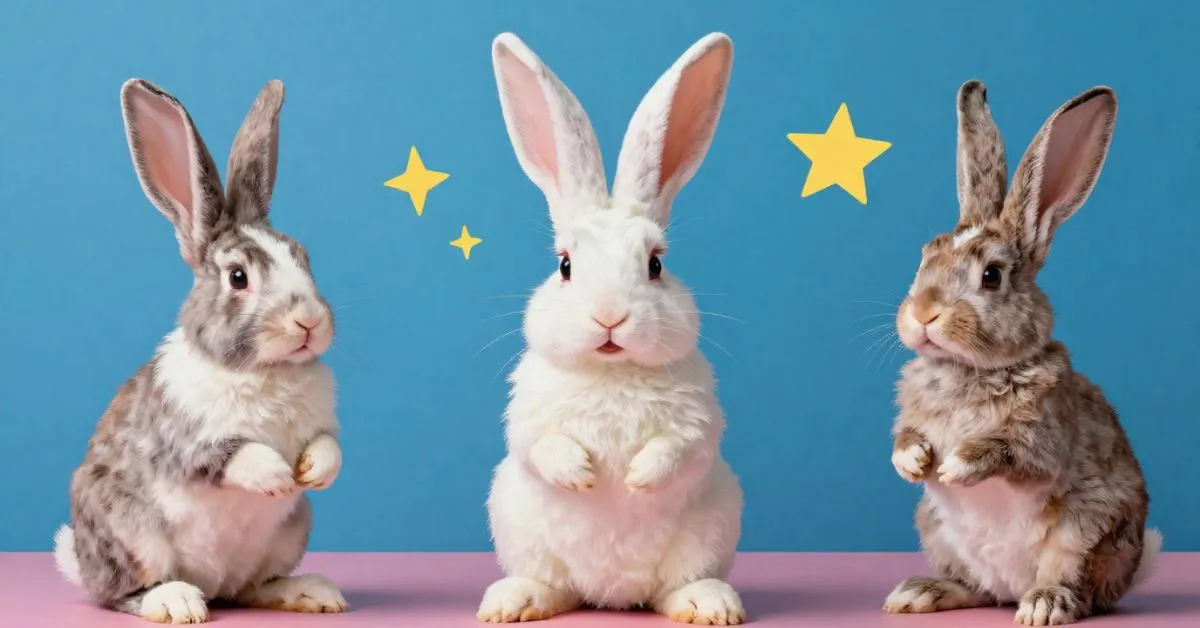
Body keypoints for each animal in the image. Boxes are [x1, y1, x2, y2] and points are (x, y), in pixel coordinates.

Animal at [51, 78, 346, 624]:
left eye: (304, 258)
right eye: (238, 277)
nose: (309, 322)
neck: (264, 370)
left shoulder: (324, 428)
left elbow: (328, 446)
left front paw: (312, 471)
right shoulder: (184, 441)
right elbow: (234, 455)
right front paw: (278, 475)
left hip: (288, 536)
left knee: (252, 588)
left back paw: (310, 591)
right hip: (132, 533)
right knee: (120, 593)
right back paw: (177, 601)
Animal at [477, 33, 744, 625]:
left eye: (655, 265)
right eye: (565, 266)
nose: (609, 317)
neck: (611, 372)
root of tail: (612, 595)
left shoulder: (699, 423)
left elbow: (681, 448)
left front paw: (638, 477)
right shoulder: (528, 418)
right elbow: (538, 444)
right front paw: (582, 473)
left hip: (711, 526)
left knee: (675, 587)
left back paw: (709, 604)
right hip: (518, 525)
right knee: (555, 587)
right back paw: (514, 601)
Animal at [883, 79, 1162, 626]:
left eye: (991, 276)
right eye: (925, 258)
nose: (923, 314)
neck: (966, 370)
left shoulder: (1040, 442)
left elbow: (1009, 452)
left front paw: (955, 466)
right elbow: (906, 436)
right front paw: (914, 462)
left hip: (1085, 528)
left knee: (1076, 591)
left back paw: (1044, 605)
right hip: (936, 530)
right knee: (978, 589)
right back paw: (920, 593)